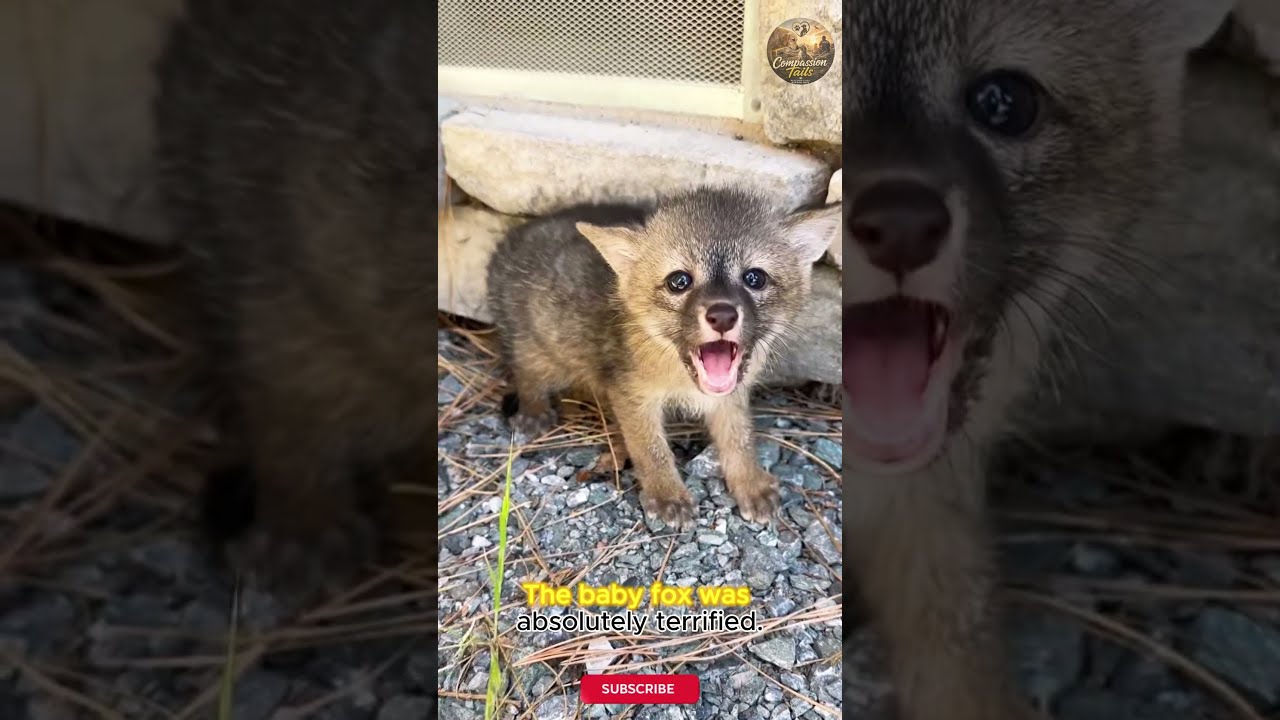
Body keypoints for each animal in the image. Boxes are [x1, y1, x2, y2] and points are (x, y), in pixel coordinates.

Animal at [486, 189, 840, 528]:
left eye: (755, 278)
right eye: (679, 281)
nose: (722, 315)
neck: (680, 379)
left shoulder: (730, 396)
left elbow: (739, 440)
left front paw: (750, 484)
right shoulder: (630, 395)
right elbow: (651, 450)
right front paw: (667, 495)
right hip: (539, 350)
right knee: (526, 372)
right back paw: (533, 413)